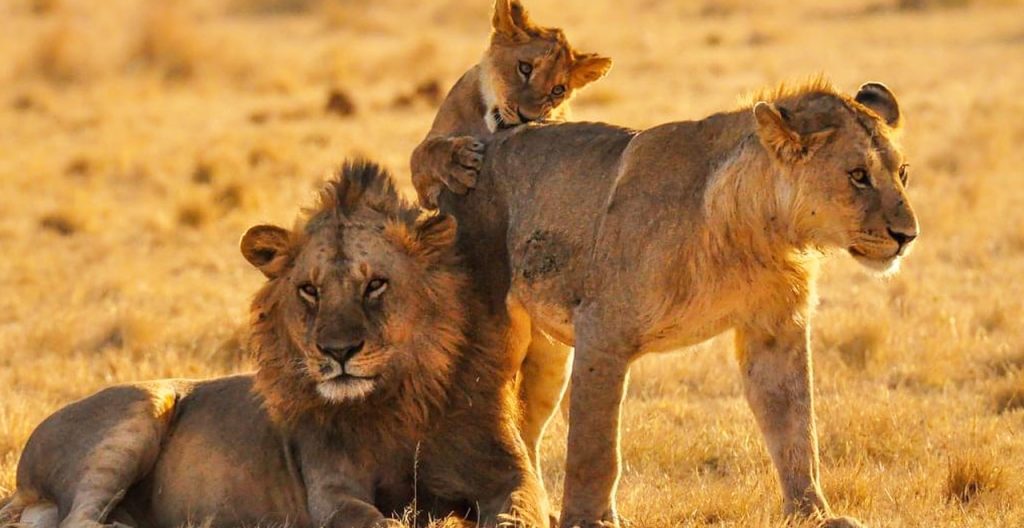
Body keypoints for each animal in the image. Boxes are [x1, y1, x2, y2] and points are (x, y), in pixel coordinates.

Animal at [0, 161, 547, 528]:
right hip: (138, 410)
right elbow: (373, 520)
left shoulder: (511, 477)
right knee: (81, 519)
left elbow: (516, 513)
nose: (337, 352)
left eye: (375, 285)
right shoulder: (331, 492)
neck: (398, 403)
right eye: (309, 290)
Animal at [409, 0, 612, 209]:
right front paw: (458, 162)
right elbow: (424, 153)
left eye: (558, 90)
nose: (527, 117)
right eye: (525, 68)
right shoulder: (425, 190)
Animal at [430, 80, 918, 528]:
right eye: (857, 175)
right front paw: (588, 521)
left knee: (525, 426)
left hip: (549, 354)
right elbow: (595, 447)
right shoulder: (602, 332)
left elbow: (796, 428)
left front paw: (813, 513)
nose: (907, 236)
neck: (760, 232)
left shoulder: (775, 330)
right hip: (493, 330)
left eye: (903, 173)